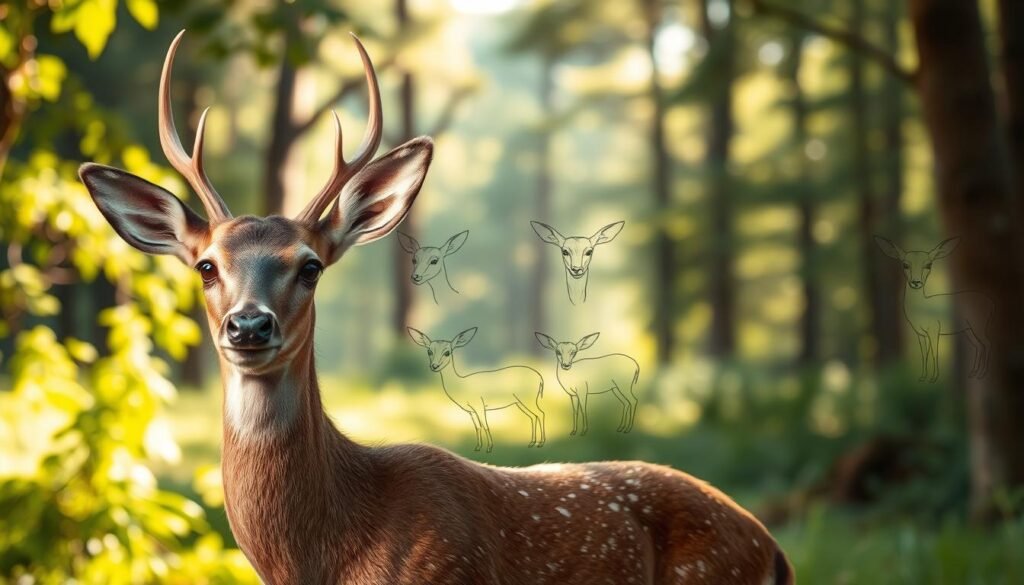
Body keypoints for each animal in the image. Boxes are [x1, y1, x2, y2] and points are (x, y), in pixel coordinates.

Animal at [407, 326, 545, 451]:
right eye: (429, 351)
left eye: (447, 352)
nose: (434, 366)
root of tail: (540, 377)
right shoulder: (471, 411)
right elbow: (477, 427)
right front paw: (478, 447)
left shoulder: (480, 406)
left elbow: (485, 425)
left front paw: (489, 448)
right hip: (519, 402)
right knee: (533, 416)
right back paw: (532, 443)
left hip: (527, 400)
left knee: (540, 413)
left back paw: (540, 443)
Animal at [875, 236, 993, 382]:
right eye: (905, 265)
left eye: (928, 265)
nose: (916, 282)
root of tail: (991, 302)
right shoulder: (920, 334)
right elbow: (924, 354)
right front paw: (922, 377)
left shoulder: (934, 329)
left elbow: (934, 353)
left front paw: (934, 378)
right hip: (968, 330)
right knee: (978, 345)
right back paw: (974, 373)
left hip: (979, 325)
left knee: (987, 343)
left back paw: (981, 373)